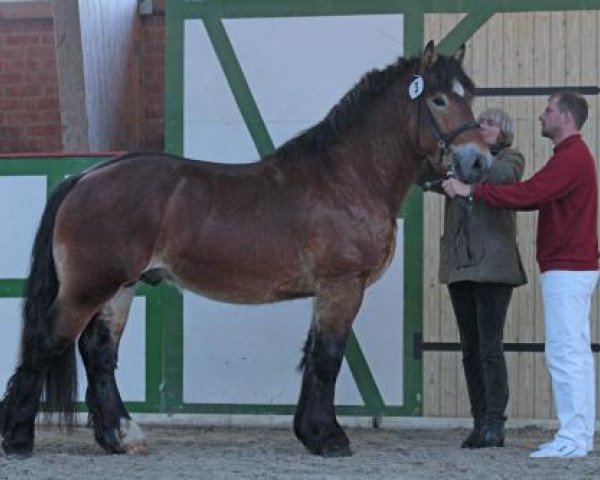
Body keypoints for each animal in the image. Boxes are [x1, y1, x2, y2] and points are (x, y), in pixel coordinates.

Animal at [0, 41, 490, 458]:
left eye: (470, 95)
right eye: (439, 100)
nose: (478, 162)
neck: (347, 178)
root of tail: (85, 177)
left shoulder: (326, 291)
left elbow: (313, 354)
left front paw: (310, 433)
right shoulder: (342, 285)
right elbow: (329, 357)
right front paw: (330, 439)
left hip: (119, 287)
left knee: (98, 353)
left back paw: (121, 437)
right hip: (89, 286)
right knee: (46, 342)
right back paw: (18, 439)